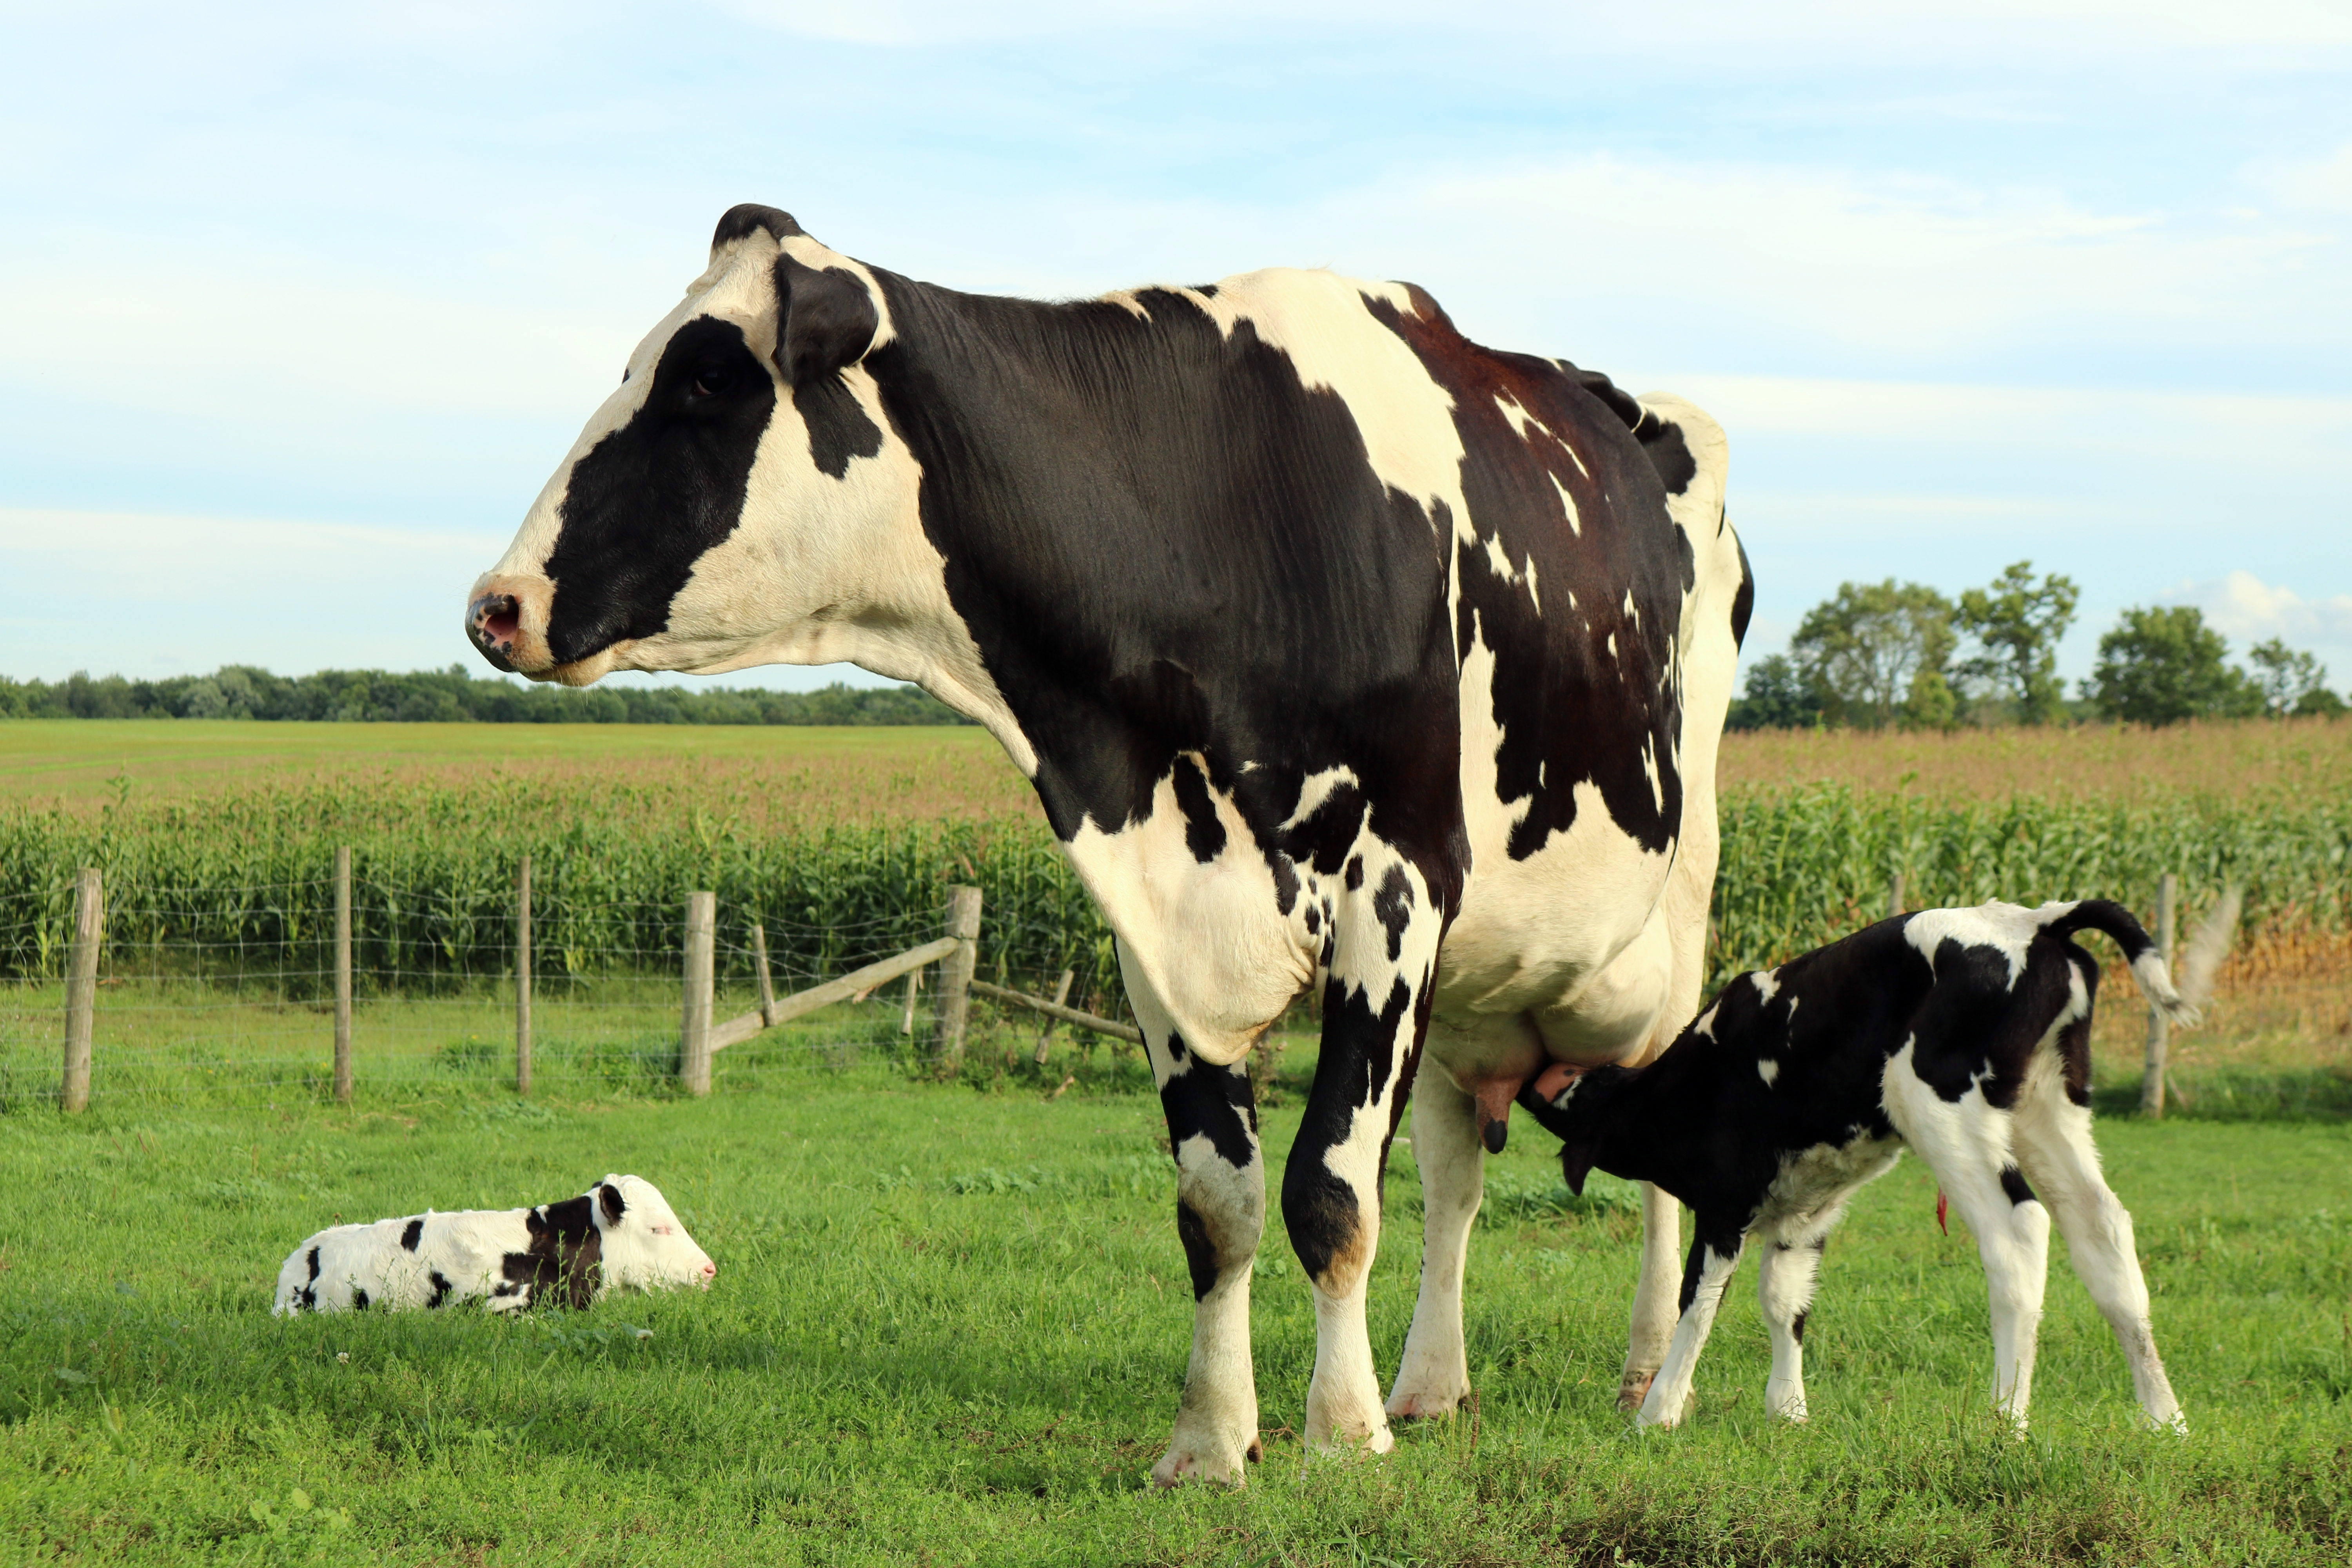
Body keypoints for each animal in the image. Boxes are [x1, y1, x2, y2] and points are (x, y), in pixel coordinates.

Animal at [465, 205, 1752, 1484]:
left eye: (704, 378)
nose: (494, 603)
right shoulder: (1158, 928)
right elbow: (1217, 1201)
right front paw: (1212, 1441)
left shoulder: (1394, 892)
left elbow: (1329, 1190)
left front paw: (1338, 1433)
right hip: (1480, 983)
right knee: (1454, 1173)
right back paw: (1430, 1386)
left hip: (1669, 911)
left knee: (1650, 1133)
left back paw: (1645, 1376)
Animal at [1516, 898, 2224, 1435]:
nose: (1523, 1079)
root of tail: (2037, 921)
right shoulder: (1806, 1210)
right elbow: (1785, 1302)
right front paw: (1789, 1413)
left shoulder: (1724, 1202)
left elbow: (1701, 1302)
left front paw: (1658, 1414)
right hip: (2050, 1107)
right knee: (2103, 1230)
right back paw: (2165, 1420)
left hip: (1943, 1107)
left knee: (2018, 1234)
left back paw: (2006, 1423)